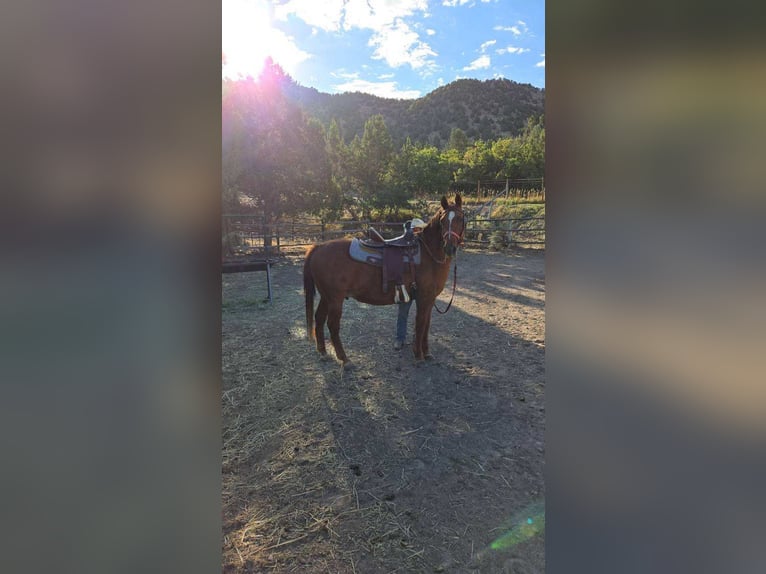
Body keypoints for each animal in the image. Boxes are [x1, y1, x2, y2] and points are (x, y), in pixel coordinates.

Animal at [306, 194, 468, 364]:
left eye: (460, 218)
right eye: (443, 221)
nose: (449, 247)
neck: (428, 254)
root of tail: (318, 247)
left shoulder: (430, 299)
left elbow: (427, 325)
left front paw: (426, 352)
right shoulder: (423, 298)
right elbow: (421, 323)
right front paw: (418, 354)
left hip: (326, 297)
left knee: (319, 318)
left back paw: (323, 352)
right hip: (335, 299)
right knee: (332, 325)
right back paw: (344, 359)